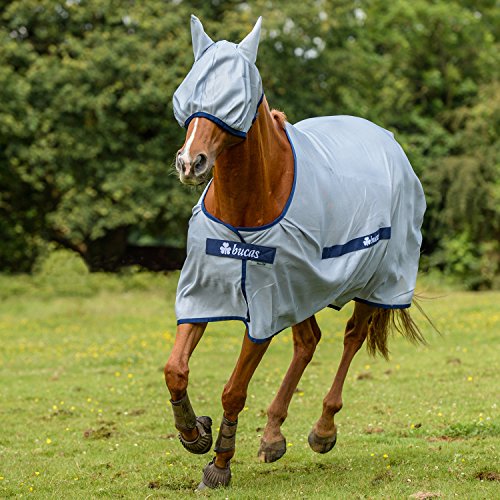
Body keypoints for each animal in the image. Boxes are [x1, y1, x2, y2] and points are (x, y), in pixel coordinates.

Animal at [164, 14, 426, 488]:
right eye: (189, 88)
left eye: (240, 96)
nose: (191, 163)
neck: (246, 207)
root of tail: (389, 142)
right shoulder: (205, 293)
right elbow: (175, 370)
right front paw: (194, 432)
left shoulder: (264, 310)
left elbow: (234, 390)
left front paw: (219, 464)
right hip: (301, 289)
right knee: (308, 342)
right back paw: (272, 435)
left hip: (375, 284)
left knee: (351, 337)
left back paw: (323, 429)